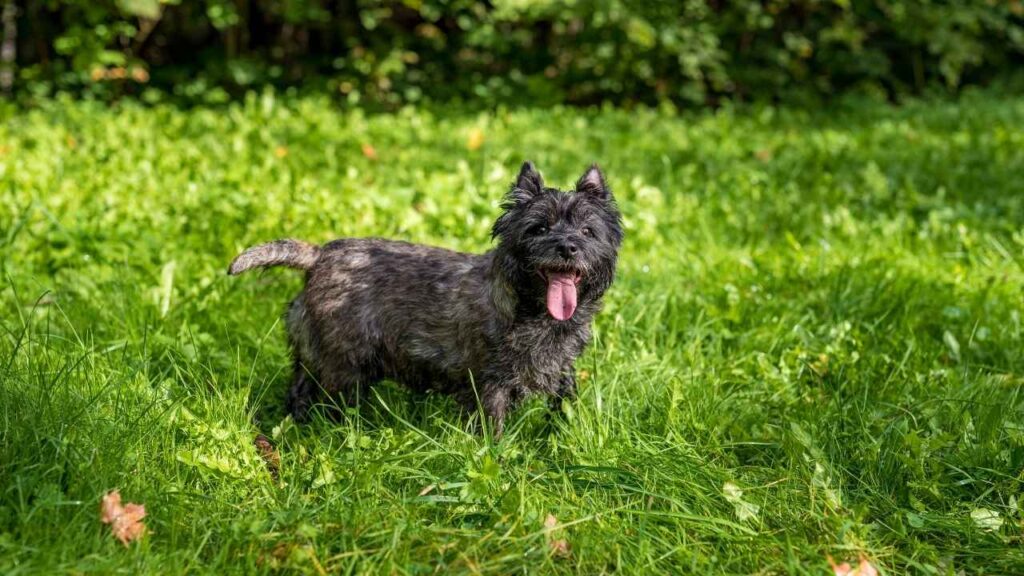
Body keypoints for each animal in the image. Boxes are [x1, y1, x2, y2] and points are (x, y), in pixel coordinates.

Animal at [227, 161, 618, 434]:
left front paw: (561, 438)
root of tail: (319, 255)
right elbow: (492, 429)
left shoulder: (562, 371)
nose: (568, 247)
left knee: (299, 390)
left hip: (313, 355)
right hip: (344, 364)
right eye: (538, 228)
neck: (532, 308)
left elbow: (563, 406)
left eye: (588, 230)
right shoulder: (490, 384)